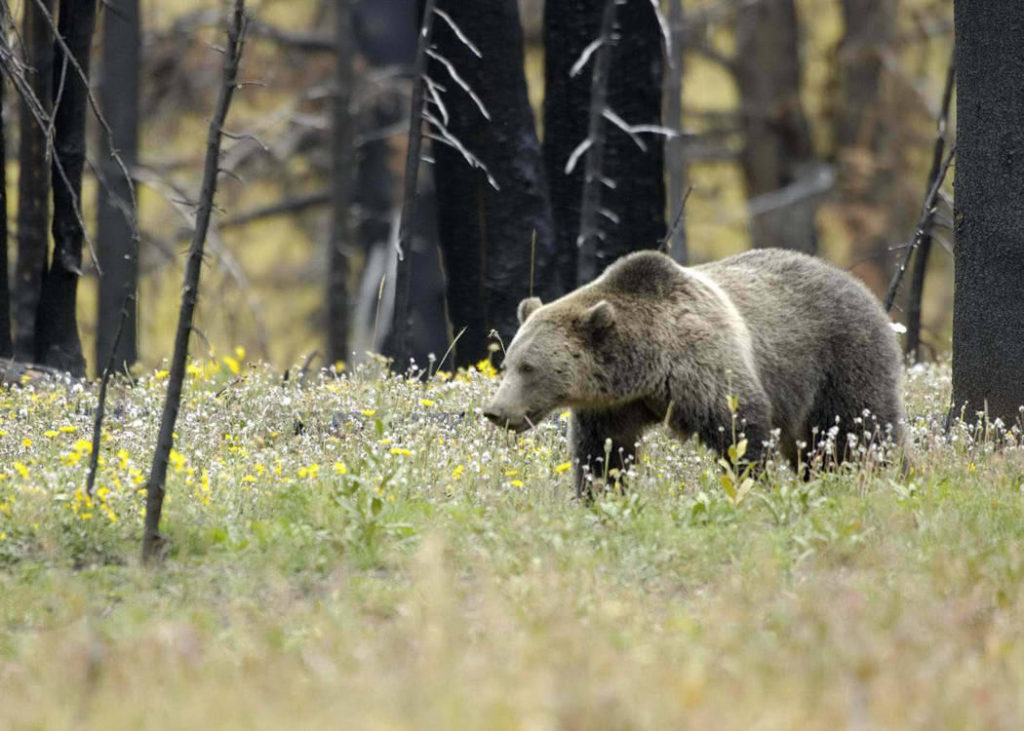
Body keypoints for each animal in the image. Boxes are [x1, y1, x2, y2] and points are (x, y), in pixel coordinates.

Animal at [481, 247, 905, 493]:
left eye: (529, 367)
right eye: (507, 363)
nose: (496, 411)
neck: (646, 366)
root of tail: (858, 284)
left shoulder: (703, 367)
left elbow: (740, 430)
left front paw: (754, 486)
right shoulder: (614, 406)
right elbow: (603, 452)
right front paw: (600, 494)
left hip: (841, 358)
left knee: (860, 430)